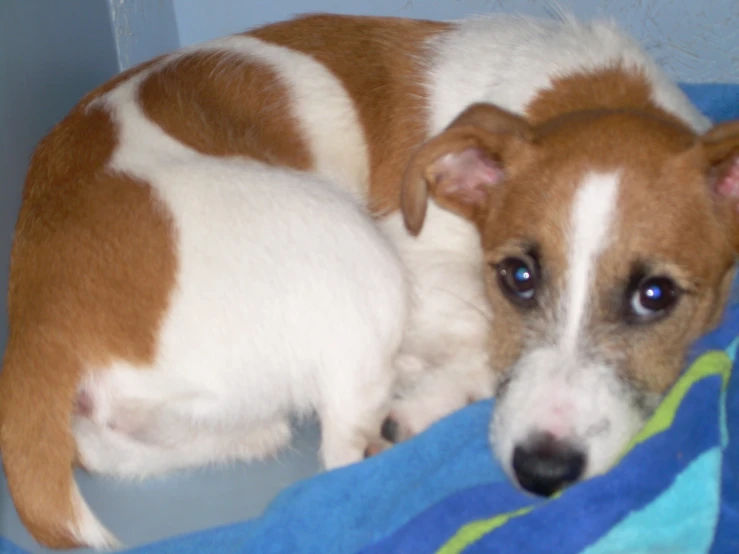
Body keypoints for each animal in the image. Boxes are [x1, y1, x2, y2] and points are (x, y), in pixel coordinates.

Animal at [0, 11, 736, 548]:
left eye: (655, 297)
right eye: (518, 277)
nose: (543, 473)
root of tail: (39, 325)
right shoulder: (418, 263)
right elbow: (478, 335)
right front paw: (432, 393)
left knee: (126, 446)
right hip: (358, 257)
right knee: (339, 459)